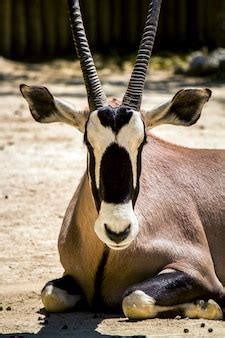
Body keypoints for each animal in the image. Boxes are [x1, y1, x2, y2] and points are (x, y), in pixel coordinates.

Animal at [19, 0, 225, 320]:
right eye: (88, 142)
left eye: (143, 142)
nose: (118, 230)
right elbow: (51, 294)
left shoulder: (199, 271)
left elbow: (134, 297)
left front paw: (207, 304)